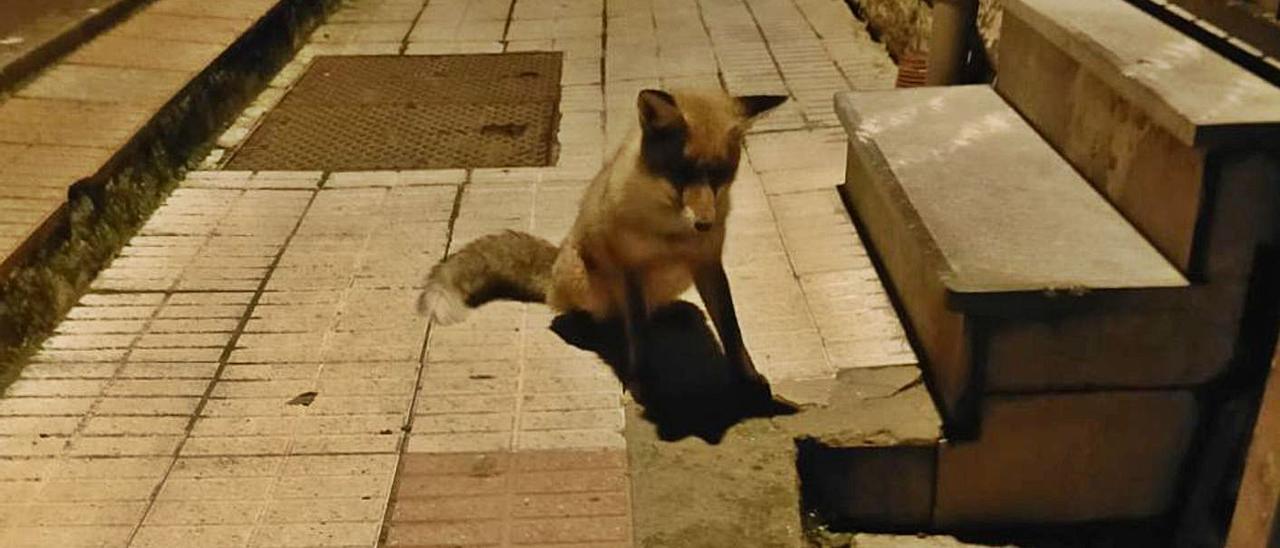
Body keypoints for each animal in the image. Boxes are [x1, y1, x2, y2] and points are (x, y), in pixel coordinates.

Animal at [419, 88, 783, 396]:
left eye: (721, 175)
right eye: (681, 173)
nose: (704, 224)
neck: (670, 232)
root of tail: (555, 261)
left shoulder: (708, 263)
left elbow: (732, 329)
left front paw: (747, 377)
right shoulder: (630, 267)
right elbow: (638, 334)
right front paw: (642, 381)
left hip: (675, 280)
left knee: (645, 311)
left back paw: (668, 313)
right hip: (583, 279)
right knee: (578, 310)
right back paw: (583, 323)